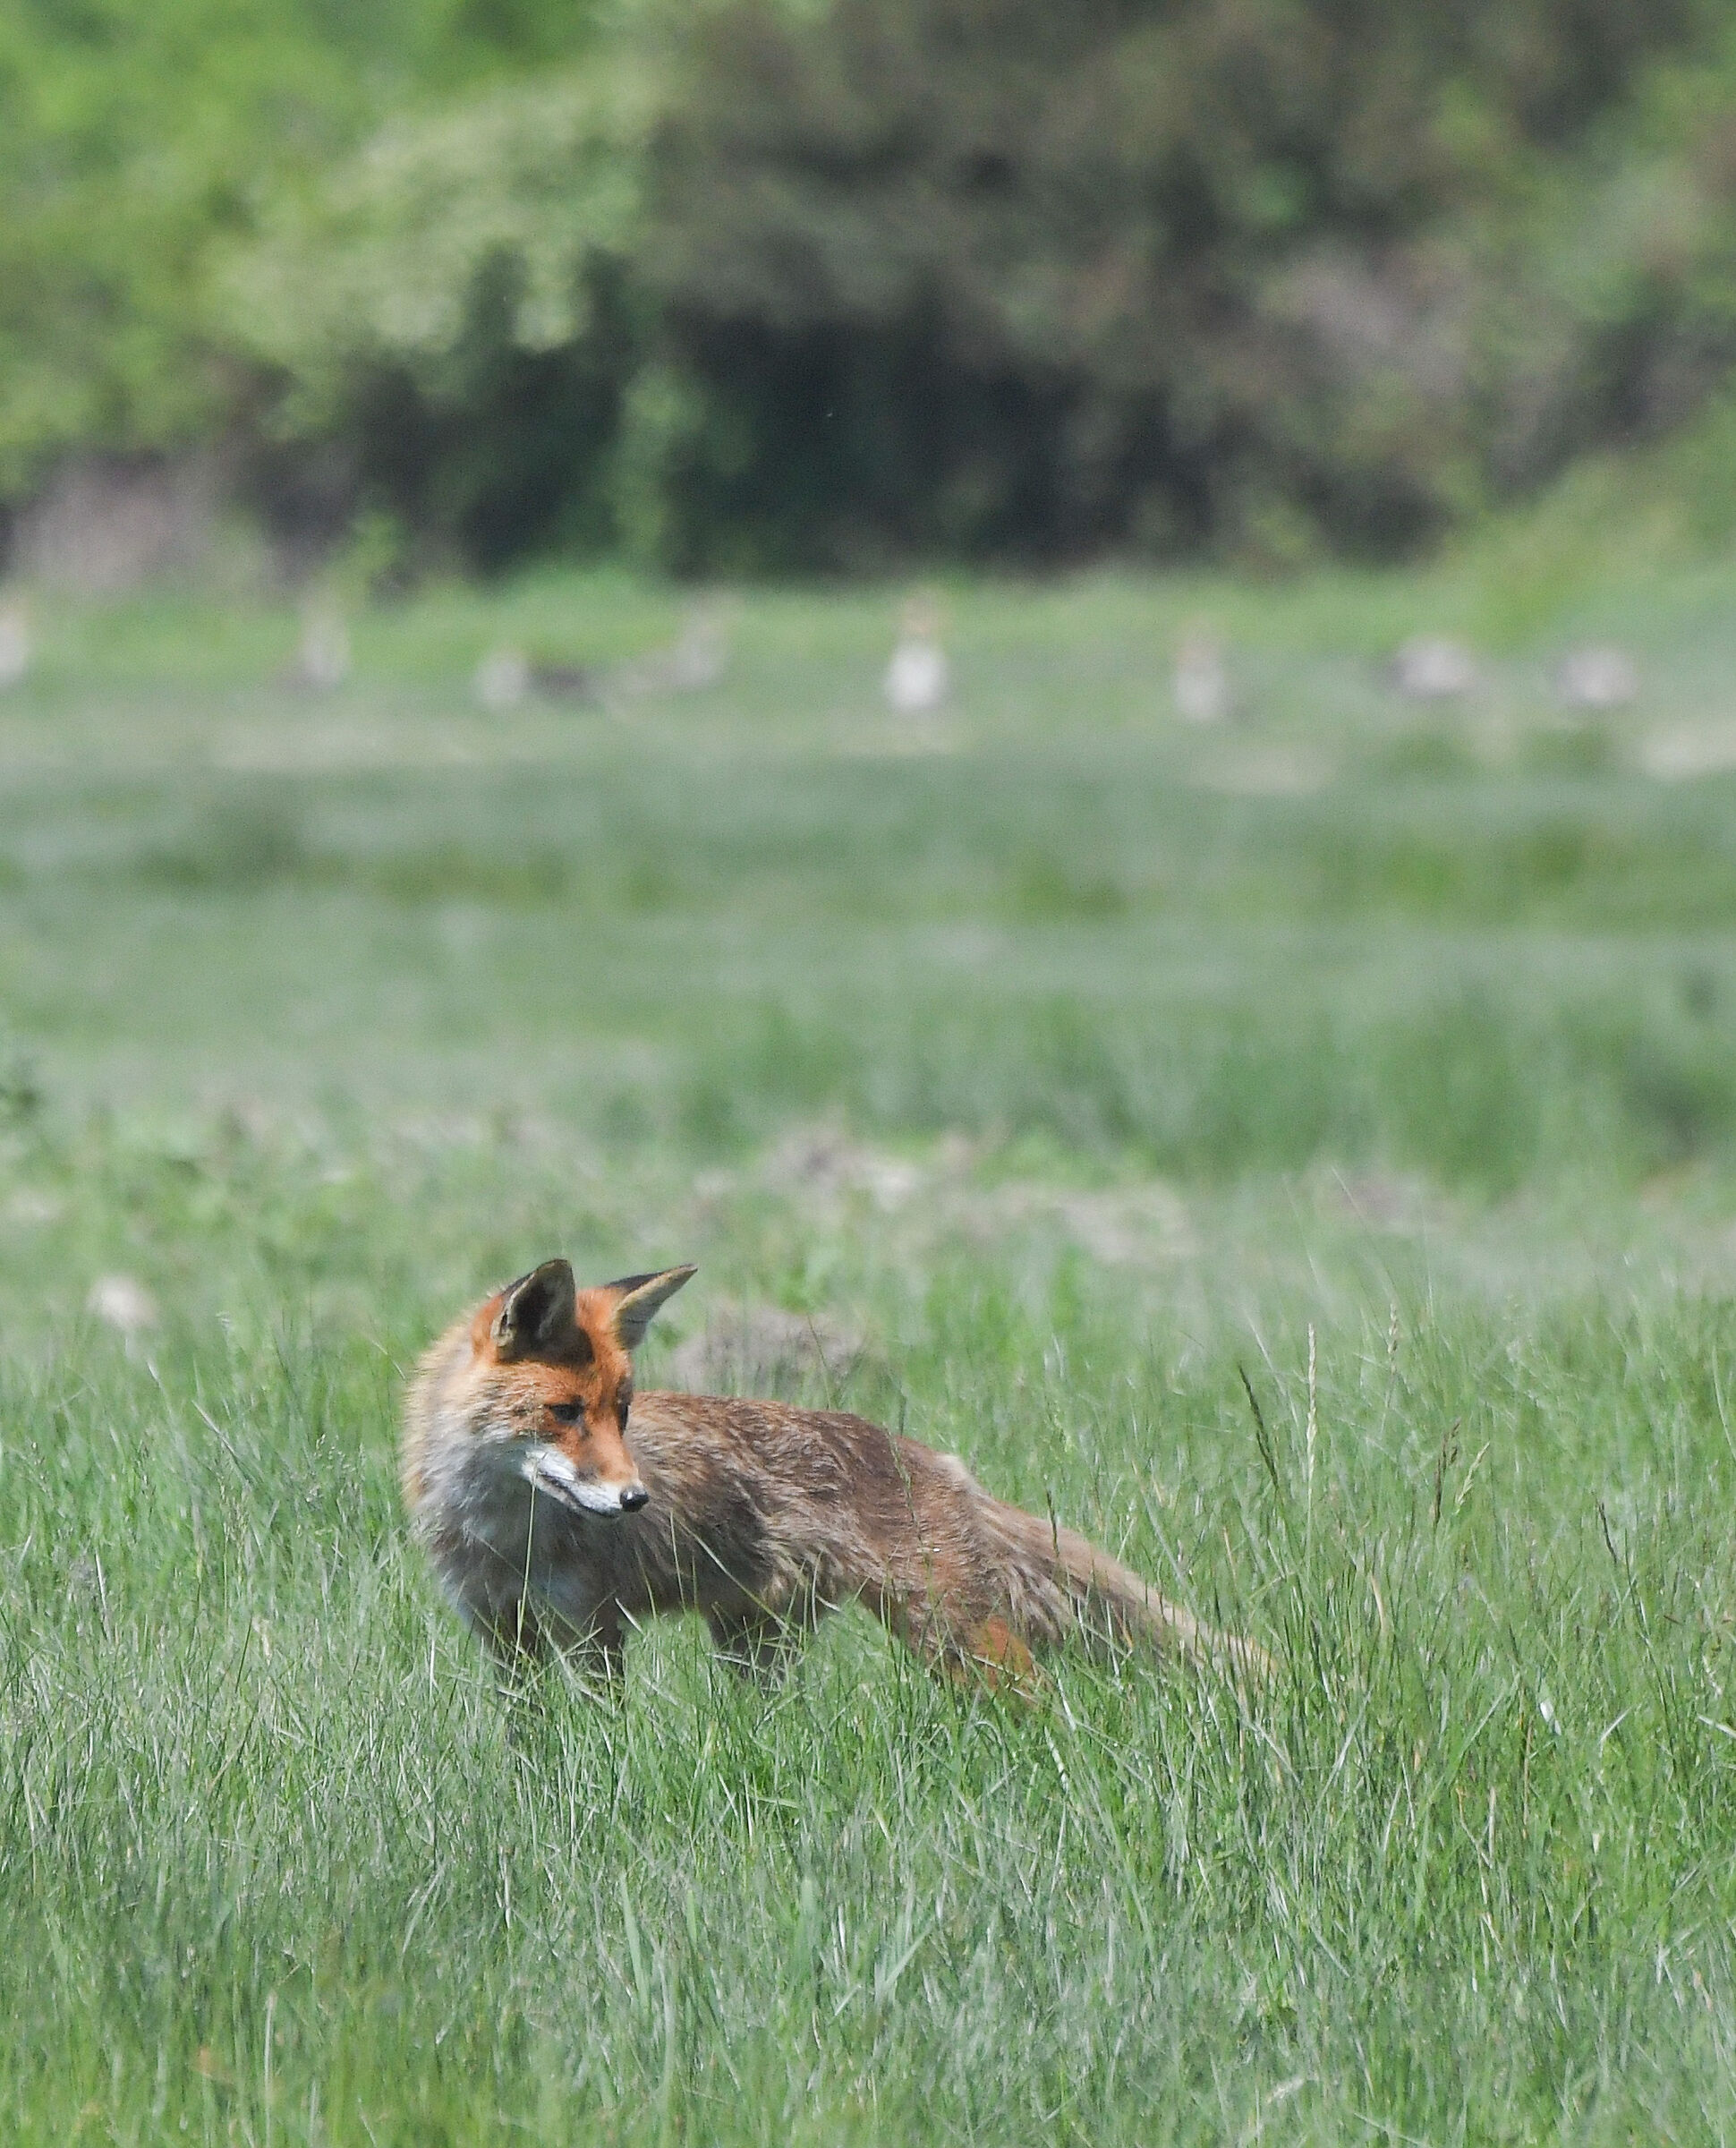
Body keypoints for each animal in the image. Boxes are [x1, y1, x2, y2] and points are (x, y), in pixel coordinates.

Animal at [401, 1259, 1270, 1691]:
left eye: (623, 1410)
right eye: (565, 1412)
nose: (634, 1498)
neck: (505, 1534)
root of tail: (933, 1456)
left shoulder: (594, 1632)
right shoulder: (501, 1635)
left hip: (953, 1636)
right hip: (757, 1645)